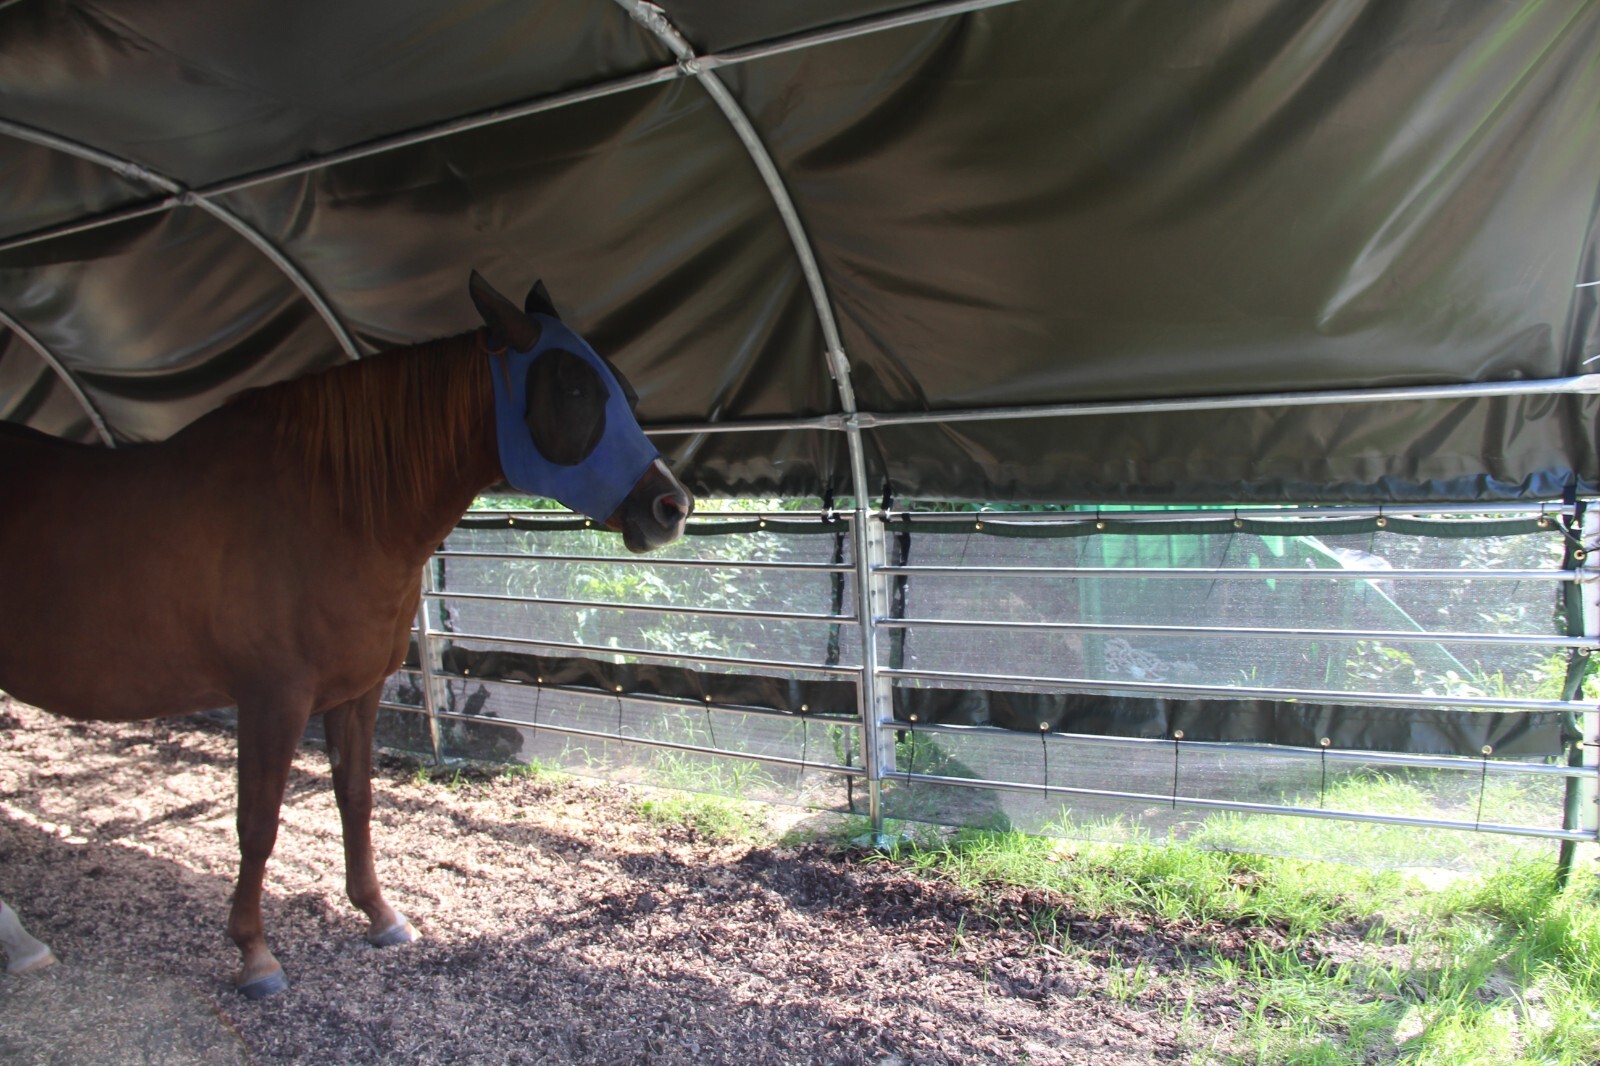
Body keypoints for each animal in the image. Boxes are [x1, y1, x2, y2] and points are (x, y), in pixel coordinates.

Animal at [0, 271, 693, 997]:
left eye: (626, 390)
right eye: (576, 388)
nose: (672, 507)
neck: (331, 508)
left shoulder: (357, 693)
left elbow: (355, 800)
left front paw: (380, 915)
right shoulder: (272, 702)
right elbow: (258, 824)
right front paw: (255, 953)